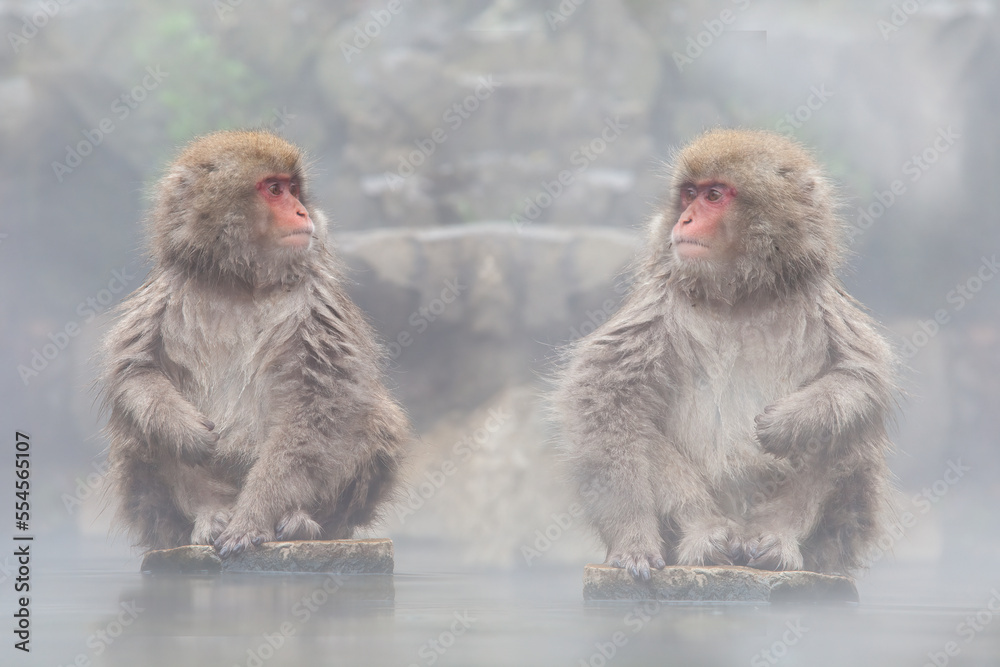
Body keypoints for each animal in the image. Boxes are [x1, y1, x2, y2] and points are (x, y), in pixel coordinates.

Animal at [99, 129, 410, 557]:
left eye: (294, 189)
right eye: (274, 189)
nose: (302, 212)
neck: (240, 282)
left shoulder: (317, 302)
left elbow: (319, 406)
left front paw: (255, 517)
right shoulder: (165, 293)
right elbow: (134, 370)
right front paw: (182, 429)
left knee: (374, 419)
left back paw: (300, 520)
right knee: (136, 431)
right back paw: (207, 515)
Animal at [553, 128, 897, 579]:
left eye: (714, 195)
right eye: (688, 194)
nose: (683, 220)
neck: (740, 293)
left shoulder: (821, 301)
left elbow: (861, 375)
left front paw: (789, 421)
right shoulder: (661, 299)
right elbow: (602, 393)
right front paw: (633, 541)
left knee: (851, 429)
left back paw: (777, 538)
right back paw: (704, 532)